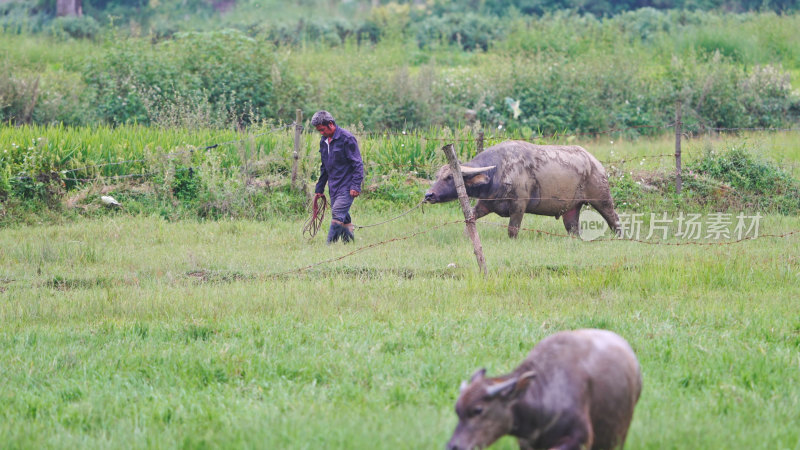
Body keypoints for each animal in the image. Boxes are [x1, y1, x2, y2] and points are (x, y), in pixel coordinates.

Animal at [422, 141, 620, 239]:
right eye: (438, 176)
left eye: (449, 177)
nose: (429, 195)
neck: (498, 172)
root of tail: (596, 163)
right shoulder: (485, 204)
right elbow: (470, 219)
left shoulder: (518, 207)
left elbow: (512, 230)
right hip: (571, 210)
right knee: (573, 229)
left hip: (602, 199)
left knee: (614, 218)